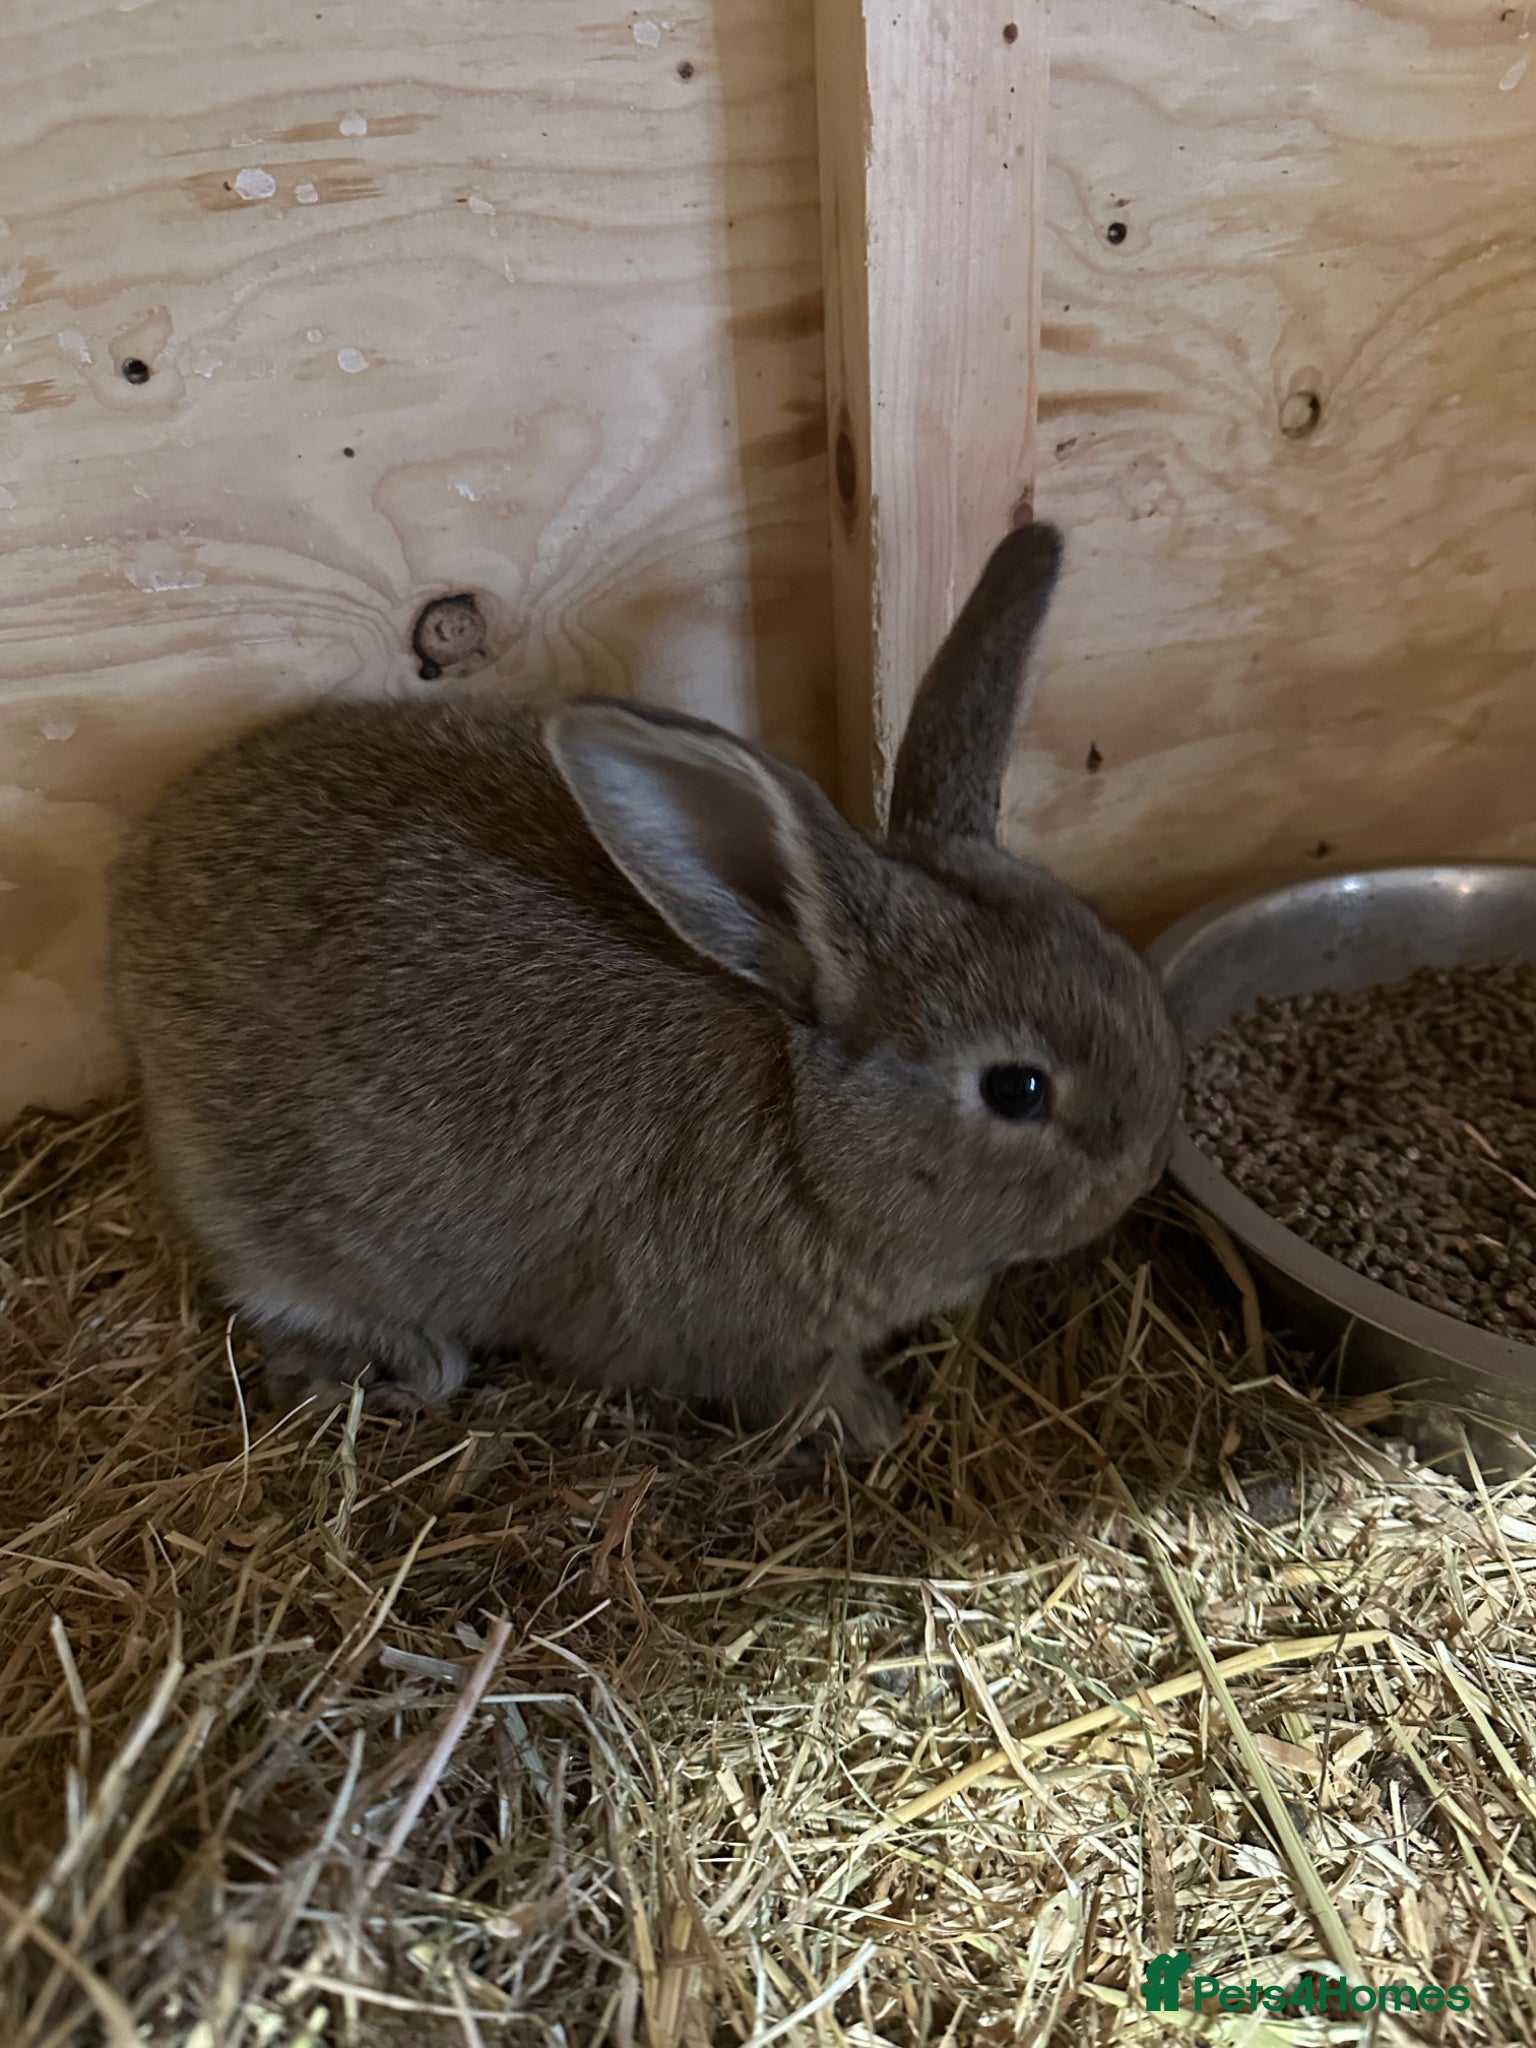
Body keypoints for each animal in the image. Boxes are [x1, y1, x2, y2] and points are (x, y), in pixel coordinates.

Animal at [107, 520, 1182, 1455]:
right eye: (1018, 1088)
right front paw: (869, 1424)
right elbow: (792, 1383)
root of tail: (141, 870)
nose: (1137, 1175)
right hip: (271, 1217)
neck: (808, 1133)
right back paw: (399, 1360)